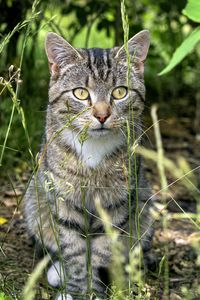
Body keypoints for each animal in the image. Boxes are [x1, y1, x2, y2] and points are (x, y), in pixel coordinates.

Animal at [24, 30, 153, 300]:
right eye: (81, 93)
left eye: (120, 92)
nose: (102, 115)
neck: (94, 148)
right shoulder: (63, 201)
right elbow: (74, 252)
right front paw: (77, 290)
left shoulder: (117, 205)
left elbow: (101, 253)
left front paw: (95, 290)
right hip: (34, 204)